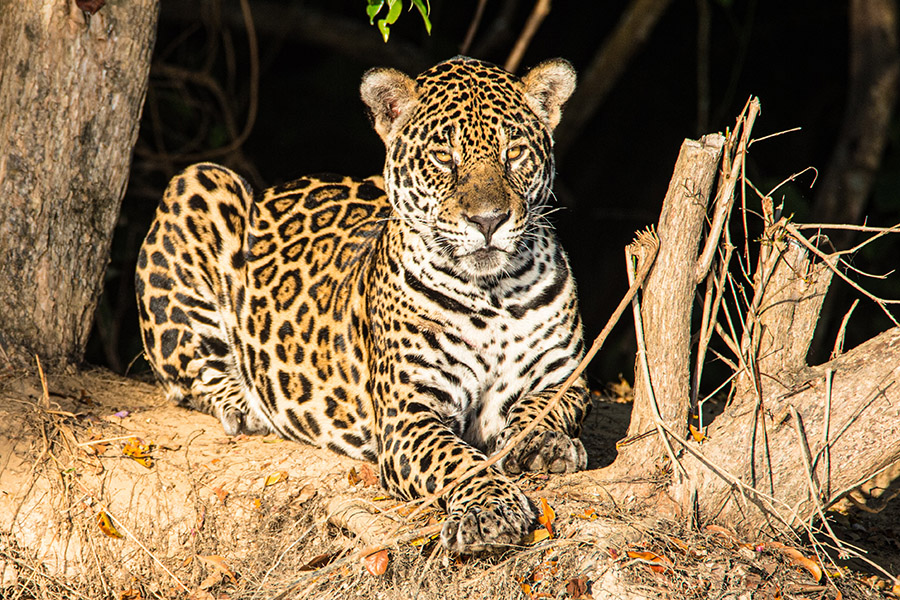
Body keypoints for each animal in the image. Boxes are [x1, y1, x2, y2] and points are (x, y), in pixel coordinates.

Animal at [135, 56, 590, 553]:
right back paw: (244, 405)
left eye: (515, 153)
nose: (488, 220)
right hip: (199, 182)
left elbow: (547, 405)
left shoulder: (568, 376)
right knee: (188, 372)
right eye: (443, 158)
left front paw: (542, 442)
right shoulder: (408, 414)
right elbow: (458, 460)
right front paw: (490, 509)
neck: (493, 293)